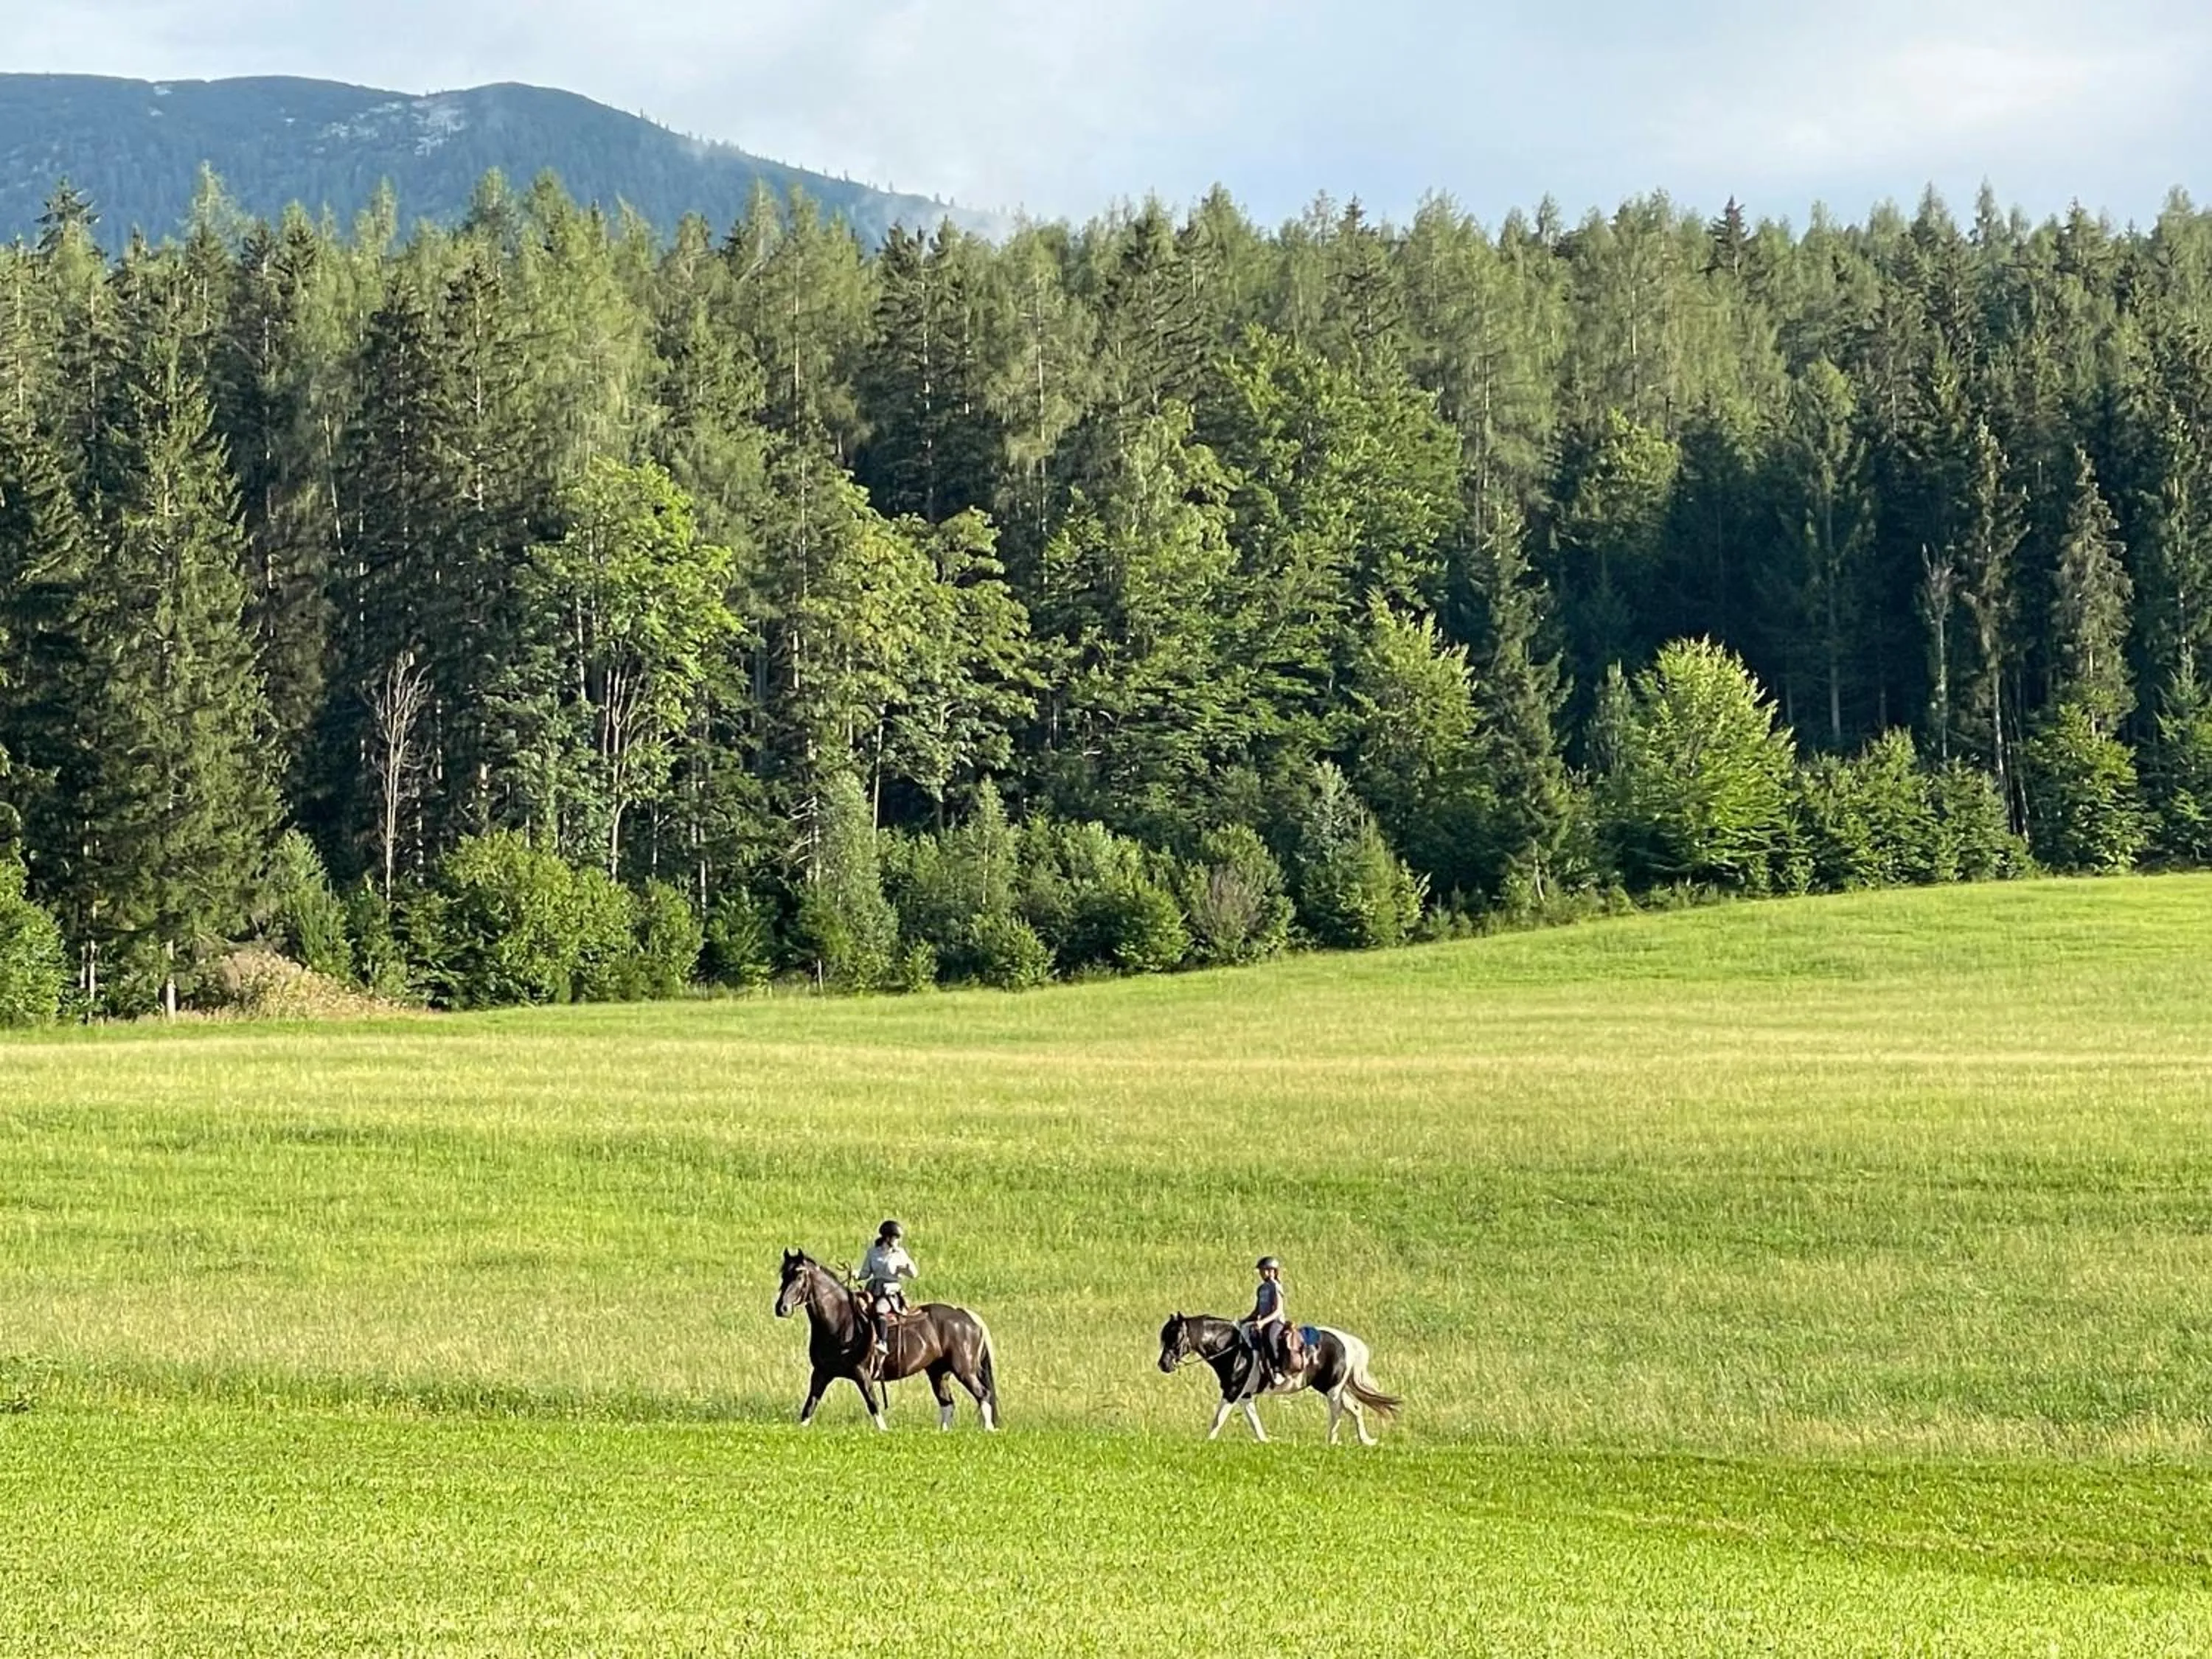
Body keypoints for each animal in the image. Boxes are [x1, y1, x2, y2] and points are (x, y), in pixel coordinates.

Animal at [774, 1249, 1000, 1432]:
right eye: (784, 1274)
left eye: (800, 1274)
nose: (782, 1308)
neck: (841, 1321)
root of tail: (967, 1316)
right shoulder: (821, 1372)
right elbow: (810, 1405)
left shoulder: (861, 1372)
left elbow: (872, 1402)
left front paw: (884, 1430)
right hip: (938, 1371)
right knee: (947, 1402)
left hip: (964, 1370)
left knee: (983, 1394)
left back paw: (988, 1430)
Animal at [1157, 1311, 1401, 1445]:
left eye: (1176, 1337)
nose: (1163, 1365)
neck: (1233, 1348)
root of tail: (1347, 1341)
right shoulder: (1245, 1395)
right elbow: (1254, 1421)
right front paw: (1265, 1441)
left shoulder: (1233, 1391)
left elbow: (1218, 1419)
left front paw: (1208, 1442)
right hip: (1331, 1386)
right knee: (1355, 1408)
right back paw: (1365, 1441)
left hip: (1332, 1389)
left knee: (1337, 1412)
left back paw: (1332, 1441)